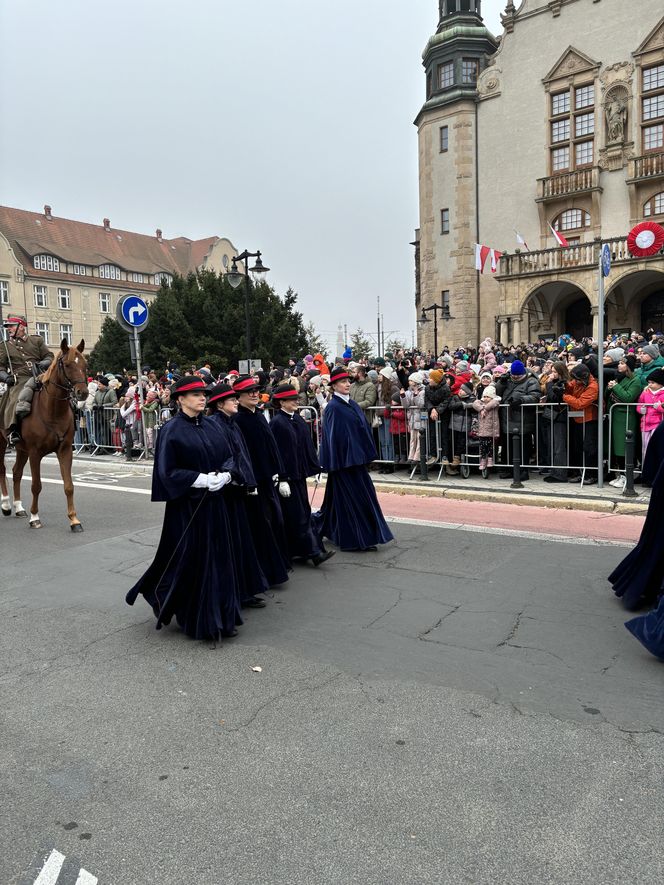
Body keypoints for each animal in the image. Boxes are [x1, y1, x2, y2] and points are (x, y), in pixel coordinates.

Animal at [0, 338, 89, 532]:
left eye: (85, 364)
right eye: (68, 365)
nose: (83, 393)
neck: (53, 410)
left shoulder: (65, 451)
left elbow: (69, 486)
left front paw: (74, 520)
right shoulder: (35, 453)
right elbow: (36, 485)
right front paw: (35, 517)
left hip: (21, 449)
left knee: (16, 472)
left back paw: (19, 507)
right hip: (1, 444)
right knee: (2, 470)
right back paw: (6, 505)